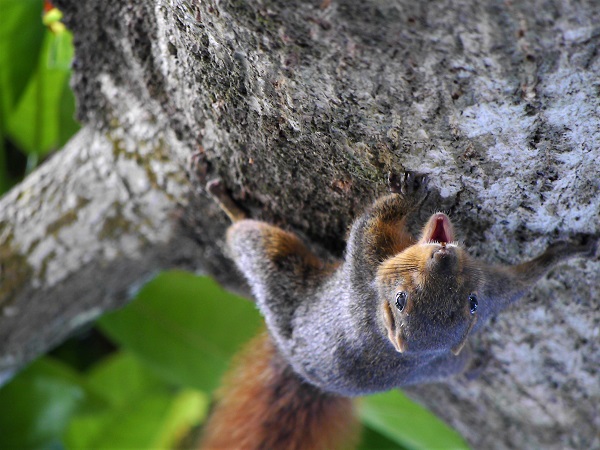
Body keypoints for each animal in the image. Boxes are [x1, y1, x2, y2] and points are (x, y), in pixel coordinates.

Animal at [198, 173, 596, 450]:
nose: (443, 257)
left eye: (471, 302)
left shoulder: (374, 264)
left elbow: (370, 222)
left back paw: (230, 207)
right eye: (401, 300)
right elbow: (521, 283)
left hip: (277, 273)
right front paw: (563, 252)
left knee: (246, 239)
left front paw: (406, 196)